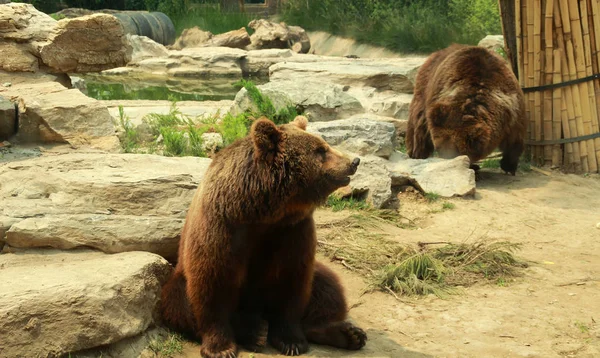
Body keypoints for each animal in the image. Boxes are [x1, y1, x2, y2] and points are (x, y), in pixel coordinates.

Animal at [159, 116, 366, 356]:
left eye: (324, 144)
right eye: (320, 150)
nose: (354, 161)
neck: (262, 211)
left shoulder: (292, 229)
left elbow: (292, 279)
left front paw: (291, 341)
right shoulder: (223, 226)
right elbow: (213, 283)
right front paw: (221, 347)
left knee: (328, 288)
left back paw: (347, 334)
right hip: (178, 278)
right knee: (177, 301)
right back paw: (254, 331)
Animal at [406, 43, 528, 176]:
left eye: (456, 152)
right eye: (441, 149)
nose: (449, 165)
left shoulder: (513, 111)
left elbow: (515, 140)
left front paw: (509, 166)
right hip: (425, 88)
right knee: (419, 123)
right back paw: (417, 153)